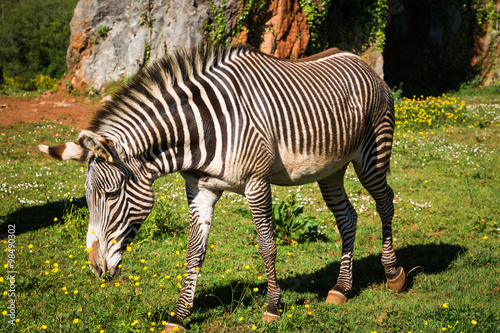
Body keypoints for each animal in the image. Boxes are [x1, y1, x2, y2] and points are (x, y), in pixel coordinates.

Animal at [40, 44, 406, 332]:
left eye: (112, 194)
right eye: (88, 200)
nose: (95, 268)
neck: (196, 133)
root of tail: (359, 59)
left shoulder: (257, 183)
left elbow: (267, 245)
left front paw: (272, 306)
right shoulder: (200, 190)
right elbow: (193, 252)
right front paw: (179, 316)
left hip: (372, 155)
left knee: (385, 201)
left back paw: (393, 274)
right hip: (330, 169)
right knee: (347, 217)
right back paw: (341, 288)